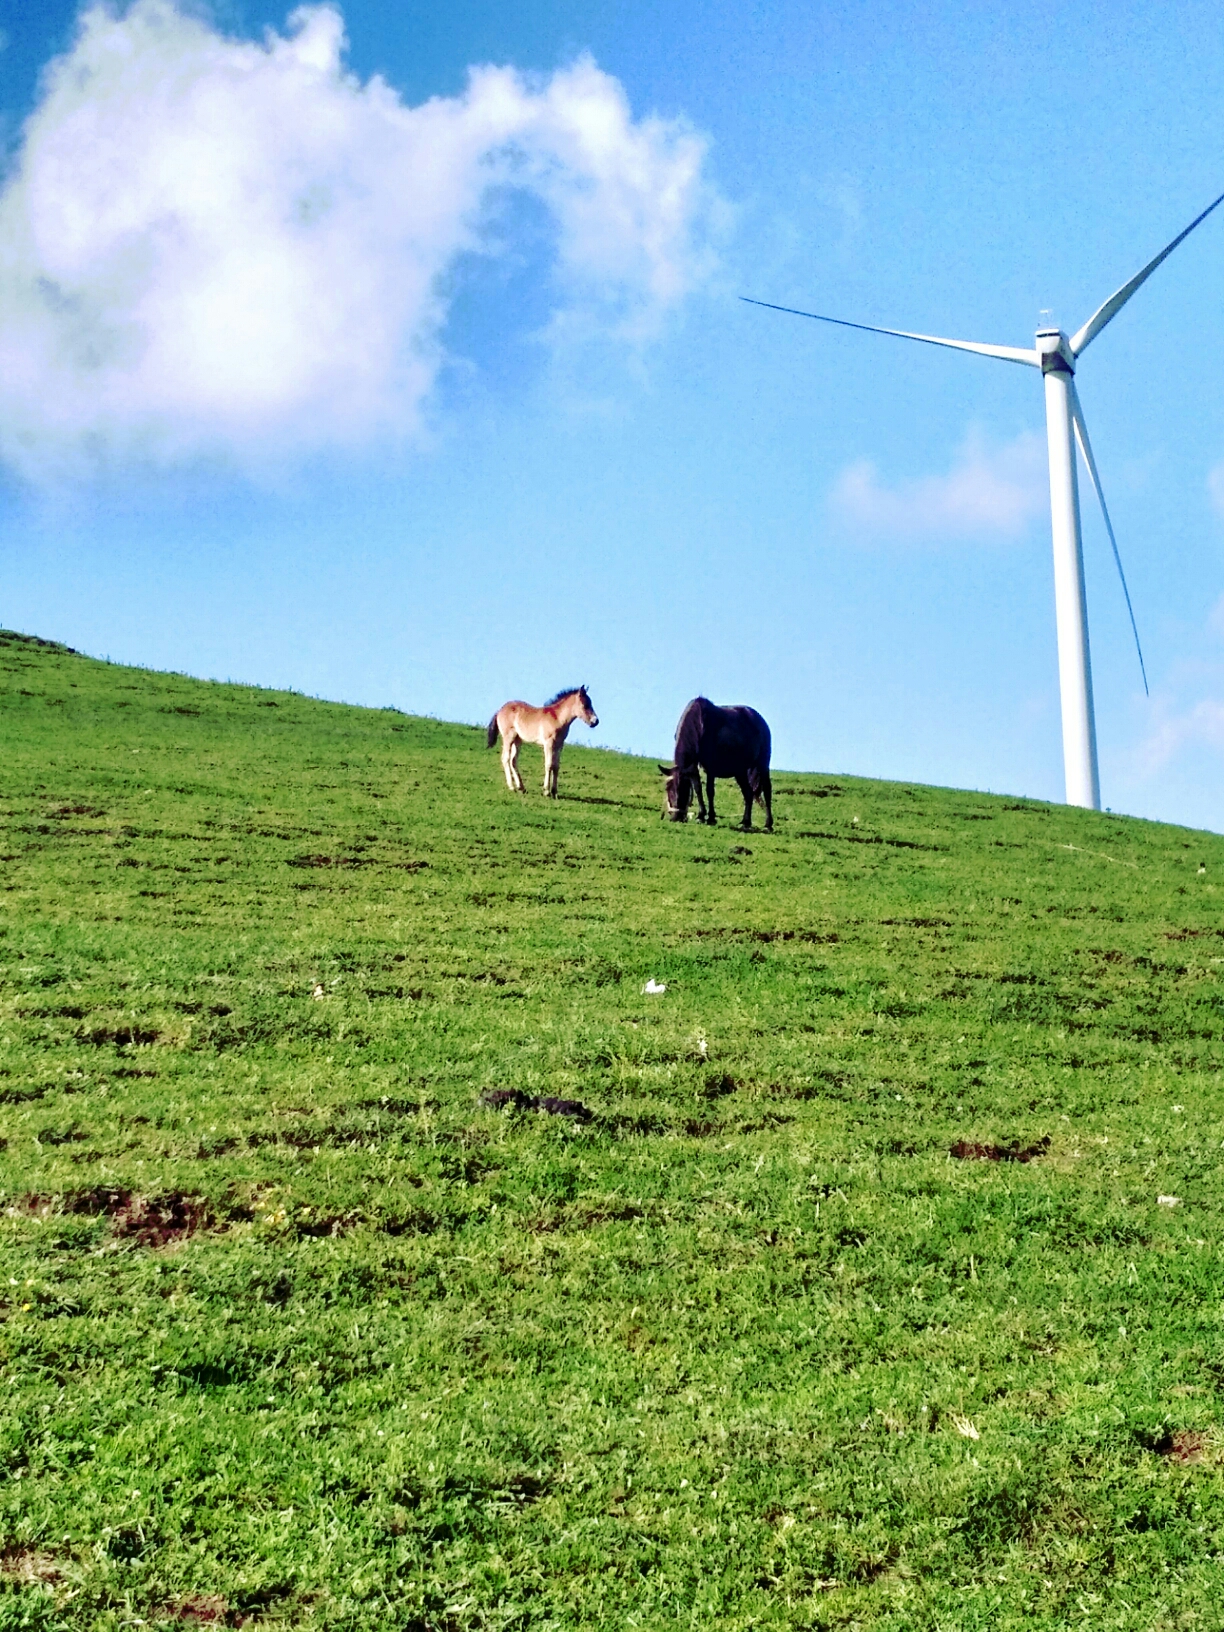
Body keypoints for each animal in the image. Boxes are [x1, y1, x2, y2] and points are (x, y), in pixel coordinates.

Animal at [662, 698, 776, 835]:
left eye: (682, 788)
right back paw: (745, 822)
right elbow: (698, 788)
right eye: (668, 789)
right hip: (740, 771)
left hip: (762, 765)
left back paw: (768, 824)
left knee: (767, 791)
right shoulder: (693, 765)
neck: (699, 725)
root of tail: (761, 721)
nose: (675, 818)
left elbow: (709, 791)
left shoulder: (710, 767)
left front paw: (711, 818)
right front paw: (701, 816)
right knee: (748, 793)